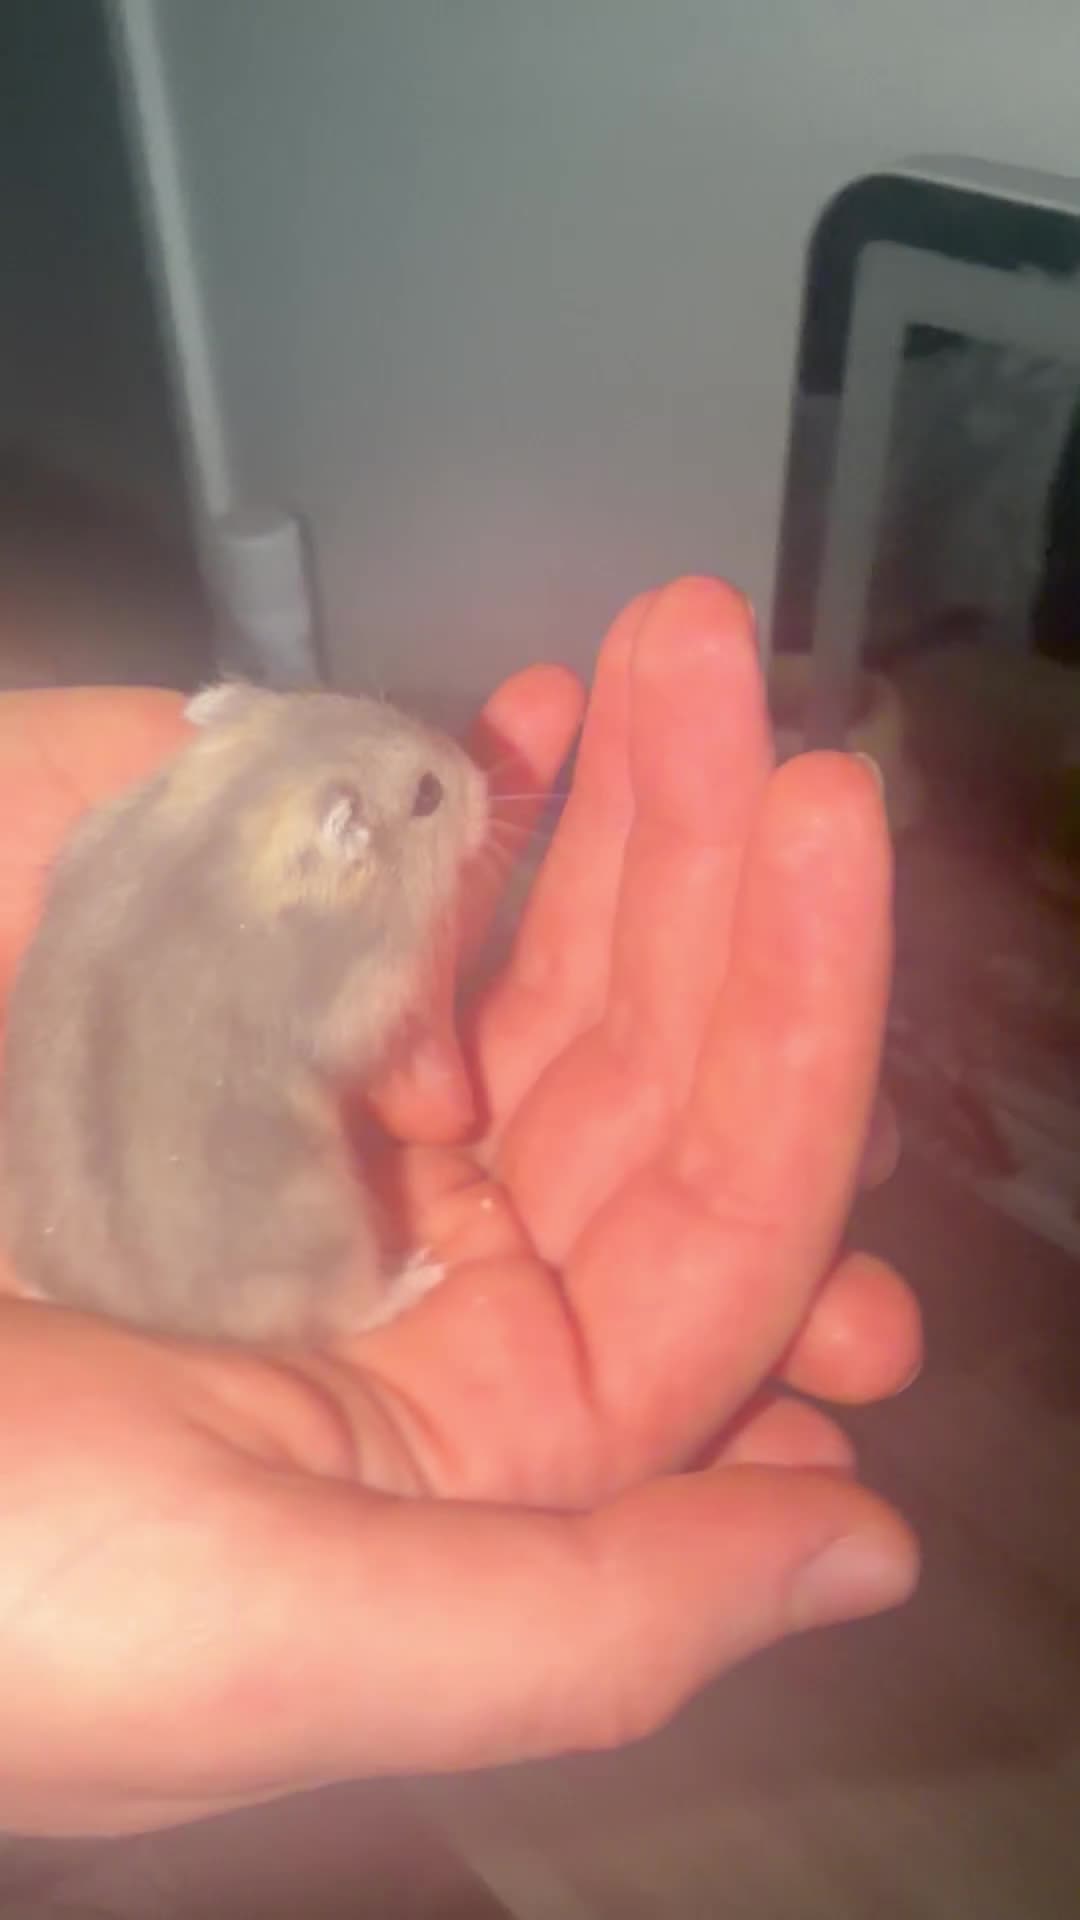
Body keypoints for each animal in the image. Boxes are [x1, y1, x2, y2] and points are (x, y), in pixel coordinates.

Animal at [0, 681, 488, 1343]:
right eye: (428, 794)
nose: (484, 782)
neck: (231, 820)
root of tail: (150, 1319)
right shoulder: (363, 998)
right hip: (327, 1224)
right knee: (353, 1310)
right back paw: (417, 1273)